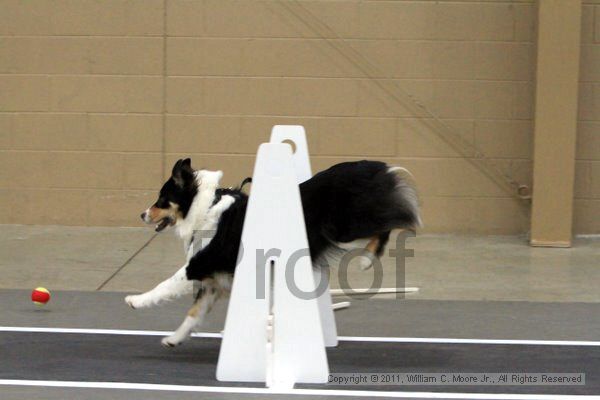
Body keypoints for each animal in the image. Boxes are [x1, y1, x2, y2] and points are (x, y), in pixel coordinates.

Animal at [124, 157, 420, 346]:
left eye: (161, 200)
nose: (141, 214)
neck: (204, 206)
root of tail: (373, 167)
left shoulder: (199, 265)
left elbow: (164, 285)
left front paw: (136, 300)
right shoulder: (215, 281)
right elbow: (193, 314)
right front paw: (174, 339)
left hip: (345, 228)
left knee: (394, 222)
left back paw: (368, 260)